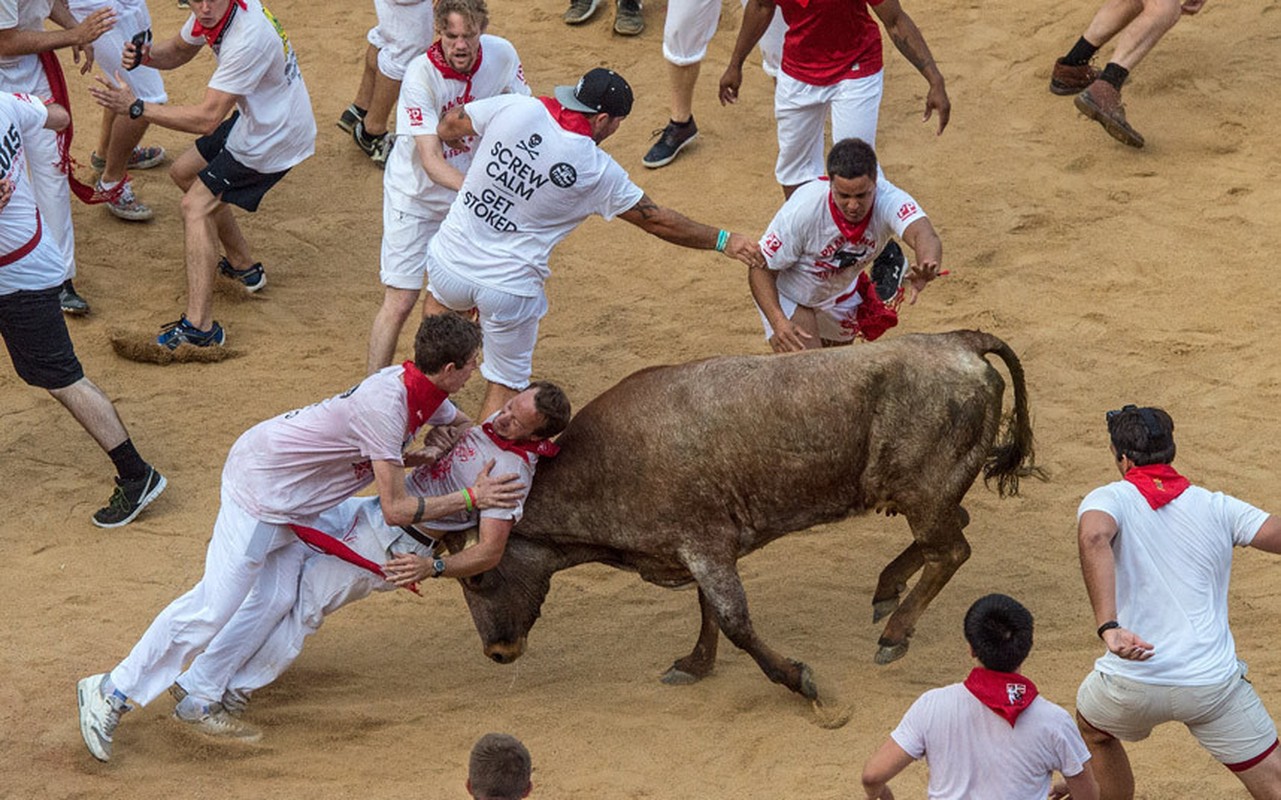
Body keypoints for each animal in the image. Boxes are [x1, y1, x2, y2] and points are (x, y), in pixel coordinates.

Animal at [456, 327, 1035, 696]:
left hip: (923, 492)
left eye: (479, 578)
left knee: (951, 550)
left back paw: (894, 634)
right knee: (952, 533)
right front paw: (695, 665)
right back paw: (886, 591)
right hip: (925, 492)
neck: (606, 462)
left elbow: (734, 619)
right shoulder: (701, 551)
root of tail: (959, 341)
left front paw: (799, 682)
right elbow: (708, 611)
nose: (497, 652)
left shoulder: (705, 546)